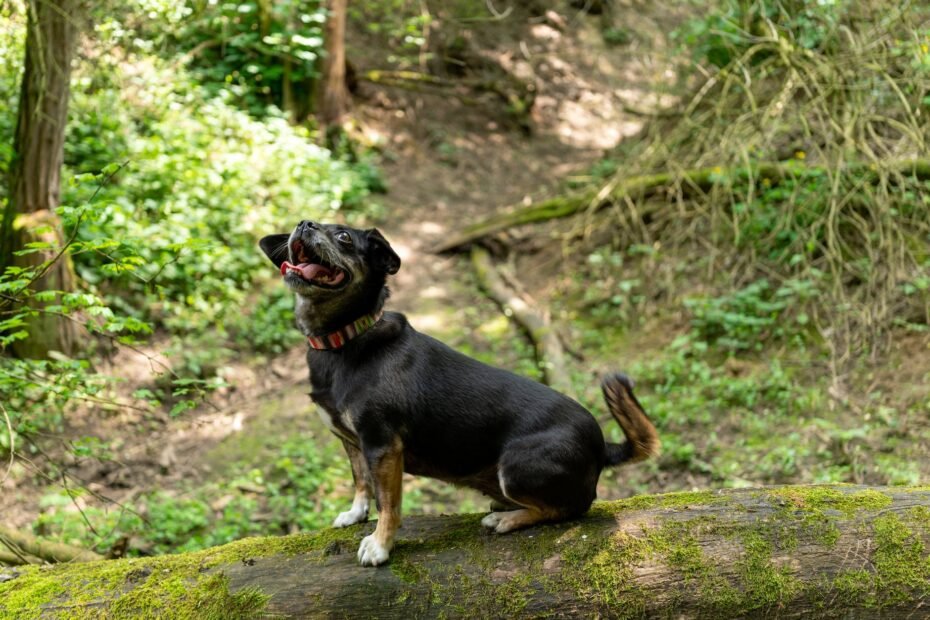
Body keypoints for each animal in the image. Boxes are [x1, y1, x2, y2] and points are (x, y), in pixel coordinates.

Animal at [258, 223, 656, 568]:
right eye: (304, 225)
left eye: (343, 236)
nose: (304, 224)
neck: (346, 339)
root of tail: (603, 446)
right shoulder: (353, 442)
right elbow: (360, 481)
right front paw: (356, 514)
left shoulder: (383, 446)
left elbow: (389, 504)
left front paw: (380, 545)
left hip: (516, 464)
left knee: (570, 508)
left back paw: (509, 520)